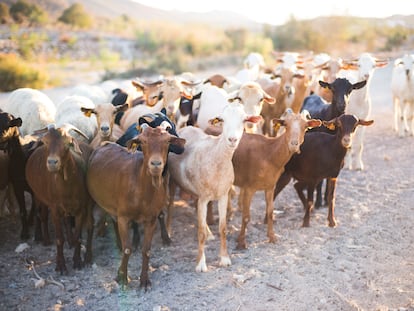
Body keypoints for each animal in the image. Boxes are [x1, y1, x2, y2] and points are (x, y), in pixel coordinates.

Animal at [86, 124, 185, 290]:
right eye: (143, 142)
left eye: (167, 141)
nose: (156, 164)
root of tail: (104, 144)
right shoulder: (124, 217)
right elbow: (128, 249)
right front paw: (122, 278)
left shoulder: (151, 219)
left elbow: (146, 250)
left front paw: (144, 281)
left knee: (113, 221)